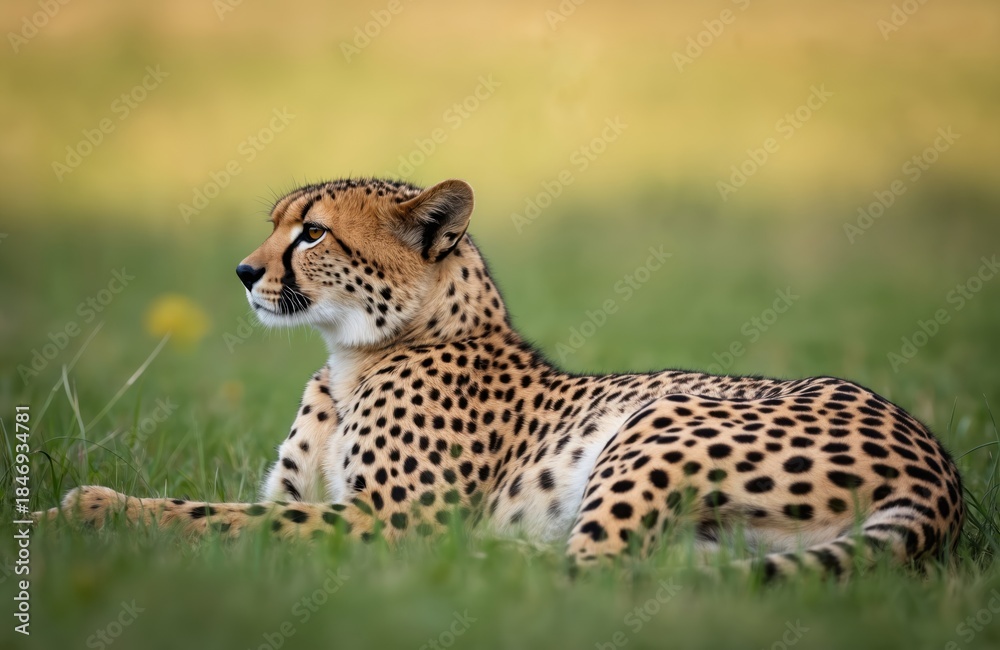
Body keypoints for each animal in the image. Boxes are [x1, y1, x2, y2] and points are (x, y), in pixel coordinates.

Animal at [38, 177, 965, 580]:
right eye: (274, 225)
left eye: (312, 233)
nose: (241, 271)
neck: (358, 352)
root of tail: (941, 472)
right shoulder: (311, 498)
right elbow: (228, 509)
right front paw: (62, 515)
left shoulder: (385, 520)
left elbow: (216, 518)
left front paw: (86, 511)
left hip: (655, 423)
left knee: (591, 570)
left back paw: (485, 558)